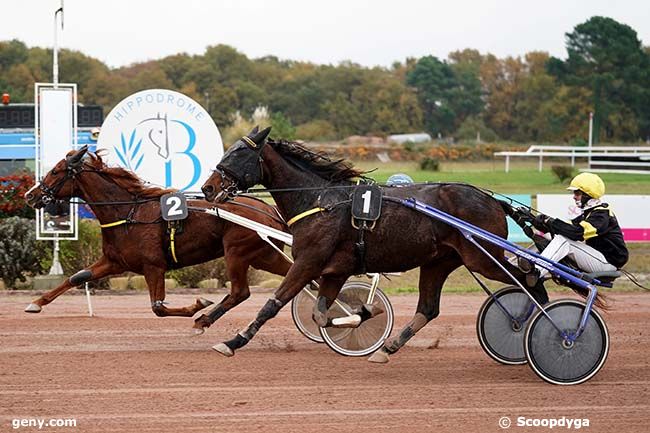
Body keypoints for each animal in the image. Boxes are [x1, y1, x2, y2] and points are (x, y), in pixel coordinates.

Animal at [23, 143, 288, 332]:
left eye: (55, 171)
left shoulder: (154, 266)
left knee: (241, 292)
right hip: (265, 256)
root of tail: (270, 209)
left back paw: (204, 320)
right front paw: (35, 303)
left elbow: (158, 308)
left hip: (237, 252)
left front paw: (198, 305)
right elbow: (77, 277)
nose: (30, 195)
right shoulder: (115, 262)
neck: (128, 213)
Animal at [201, 125, 596, 362]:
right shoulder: (335, 270)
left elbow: (274, 304)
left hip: (482, 257)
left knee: (530, 279)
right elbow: (321, 313)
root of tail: (492, 199)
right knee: (429, 308)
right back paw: (389, 348)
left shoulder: (309, 261)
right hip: (439, 261)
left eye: (237, 155)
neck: (320, 199)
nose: (207, 188)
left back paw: (540, 328)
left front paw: (233, 341)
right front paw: (364, 316)